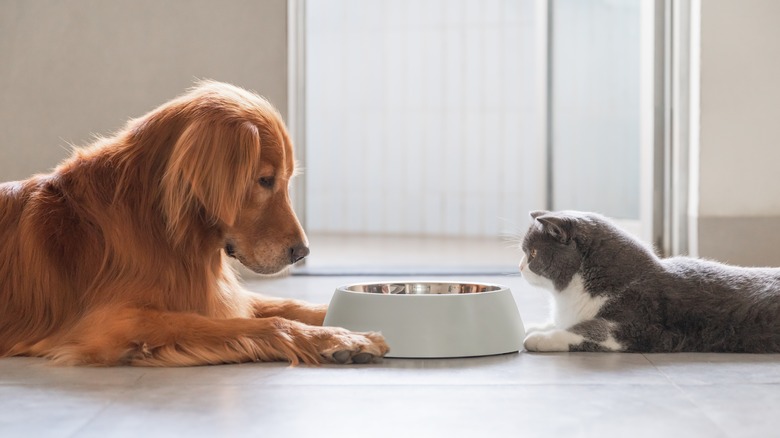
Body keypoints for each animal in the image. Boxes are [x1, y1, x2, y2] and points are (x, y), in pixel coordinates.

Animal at [0, 81, 388, 366]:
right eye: (265, 180)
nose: (302, 252)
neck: (159, 226)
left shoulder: (215, 294)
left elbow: (287, 306)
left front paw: (339, 320)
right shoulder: (114, 322)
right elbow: (264, 322)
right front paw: (339, 337)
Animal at [520, 210, 780, 352]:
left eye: (532, 253)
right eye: (525, 252)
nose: (520, 267)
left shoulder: (636, 325)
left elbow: (584, 330)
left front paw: (538, 338)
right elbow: (560, 322)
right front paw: (532, 326)